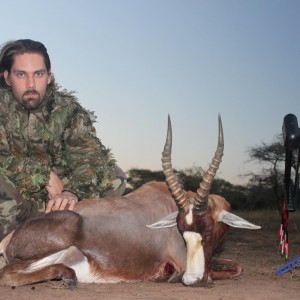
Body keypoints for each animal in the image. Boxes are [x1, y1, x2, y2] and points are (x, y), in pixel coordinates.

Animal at [0, 115, 258, 288]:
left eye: (207, 230)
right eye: (181, 231)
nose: (192, 279)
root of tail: (8, 239)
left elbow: (238, 267)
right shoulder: (182, 261)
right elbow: (223, 272)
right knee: (7, 274)